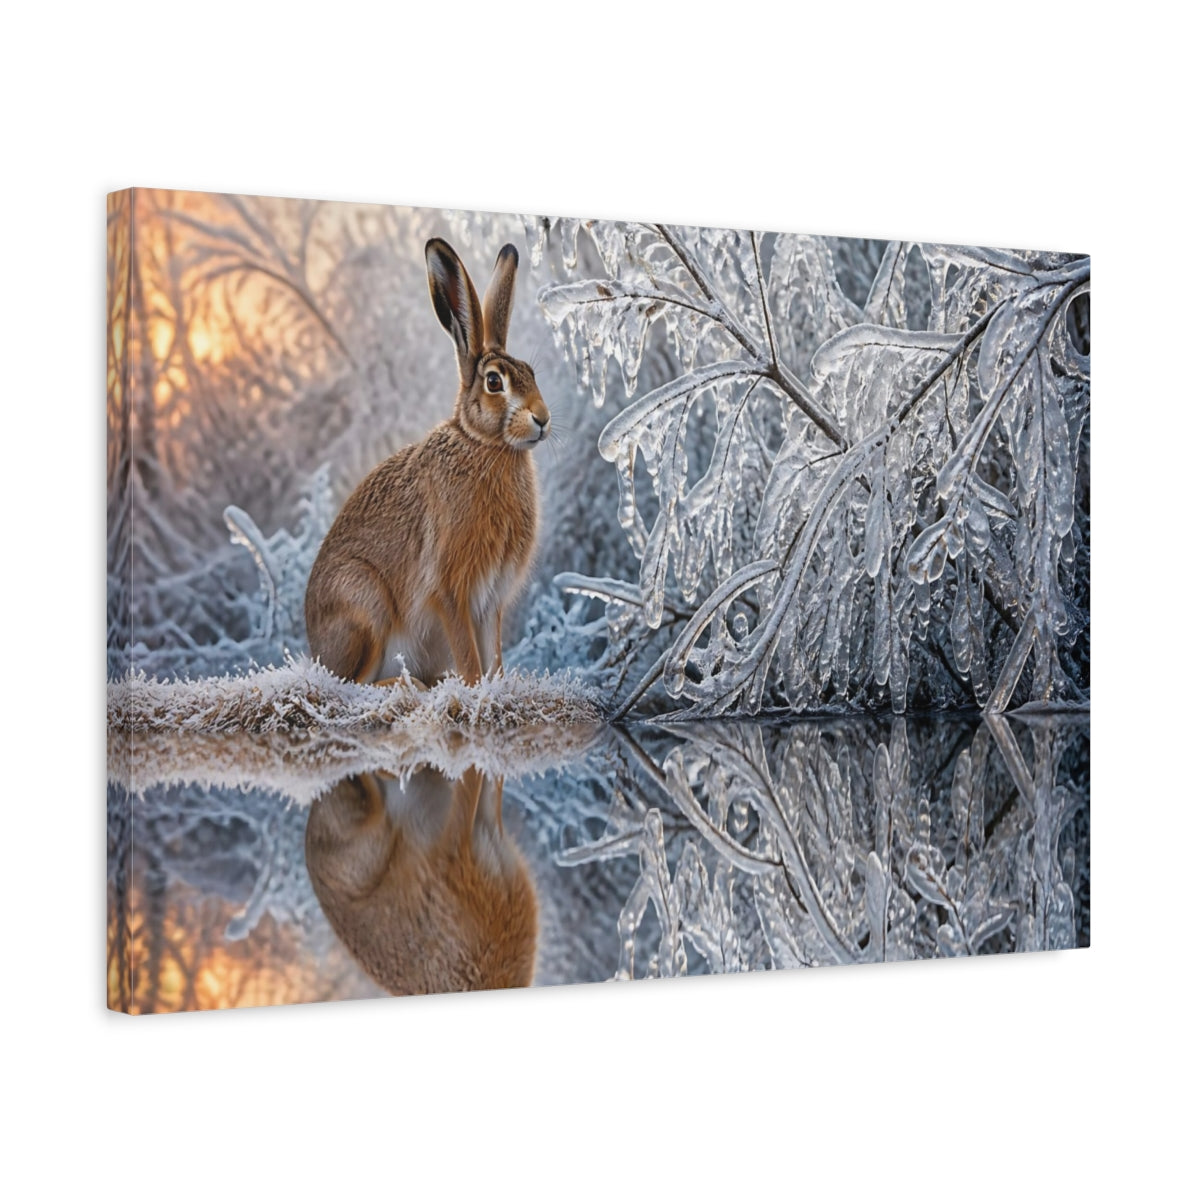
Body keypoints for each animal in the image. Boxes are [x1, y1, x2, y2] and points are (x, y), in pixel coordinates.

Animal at [305, 238, 550, 686]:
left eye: (531, 373)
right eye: (494, 382)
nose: (542, 418)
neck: (483, 444)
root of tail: (317, 652)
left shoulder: (490, 602)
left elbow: (493, 656)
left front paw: (496, 686)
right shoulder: (450, 590)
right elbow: (469, 657)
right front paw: (473, 688)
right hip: (365, 606)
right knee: (349, 685)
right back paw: (408, 684)